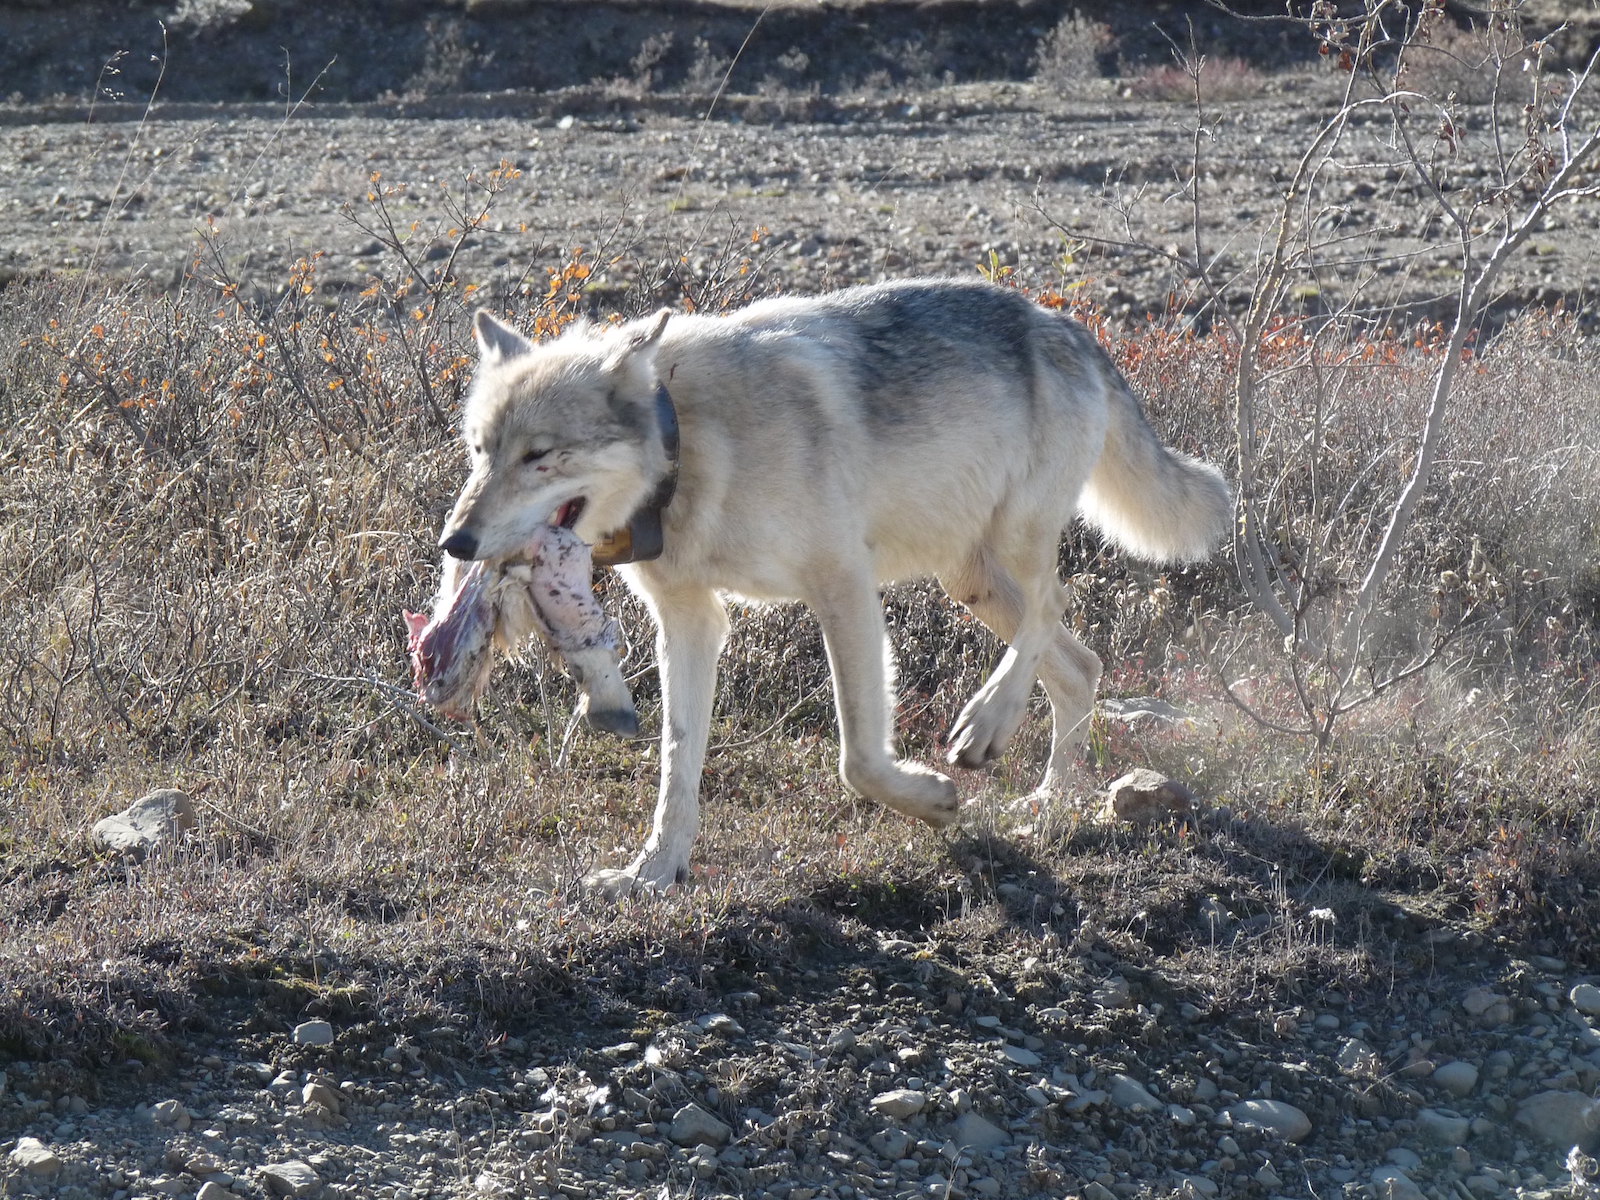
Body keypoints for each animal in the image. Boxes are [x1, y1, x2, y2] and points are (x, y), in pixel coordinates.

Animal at [432, 275, 1228, 896]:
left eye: (539, 455)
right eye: (479, 450)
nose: (455, 543)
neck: (687, 443)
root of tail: (1067, 324)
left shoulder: (841, 584)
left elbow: (859, 761)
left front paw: (933, 802)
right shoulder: (691, 622)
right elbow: (676, 766)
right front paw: (653, 873)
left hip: (1012, 546)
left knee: (1052, 609)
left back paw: (986, 727)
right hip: (970, 579)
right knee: (1081, 665)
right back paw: (1051, 802)